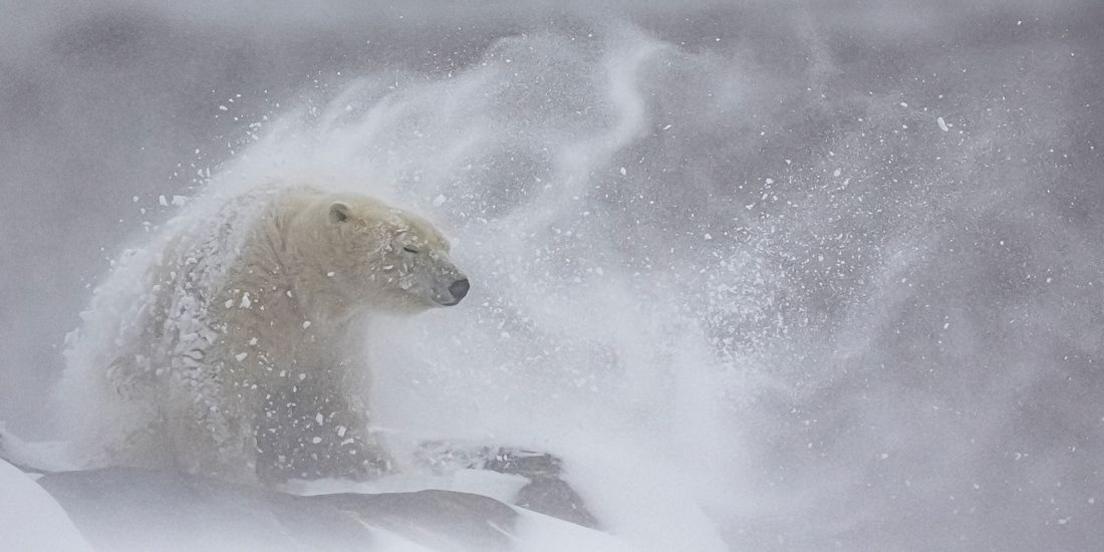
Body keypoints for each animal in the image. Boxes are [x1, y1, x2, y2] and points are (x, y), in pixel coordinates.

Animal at [21, 183, 470, 486]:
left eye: (445, 245)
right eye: (410, 248)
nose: (459, 284)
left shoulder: (333, 337)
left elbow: (333, 405)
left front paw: (384, 466)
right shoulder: (240, 293)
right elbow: (211, 385)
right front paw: (232, 475)